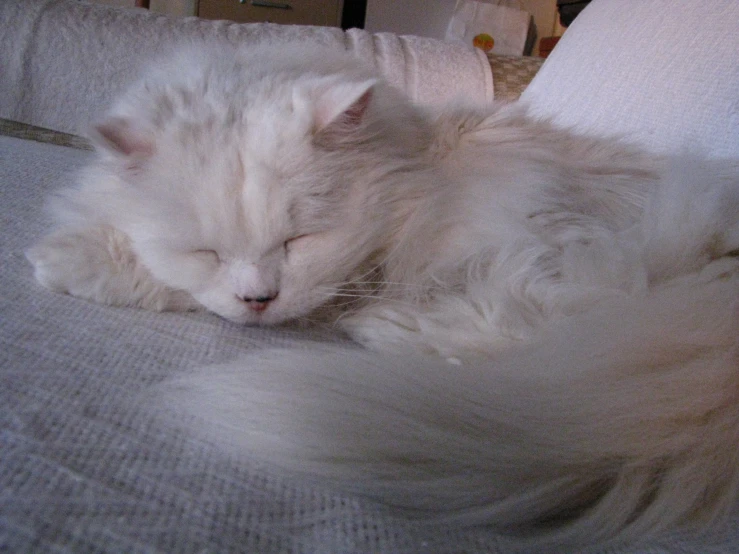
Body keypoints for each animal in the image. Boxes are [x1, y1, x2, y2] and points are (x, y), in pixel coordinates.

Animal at [26, 45, 739, 544]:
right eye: (208, 250)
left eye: (299, 240)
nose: (260, 301)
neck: (408, 166)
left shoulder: (347, 277)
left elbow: (150, 276)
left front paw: (58, 258)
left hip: (553, 257)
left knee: (538, 338)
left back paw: (387, 330)